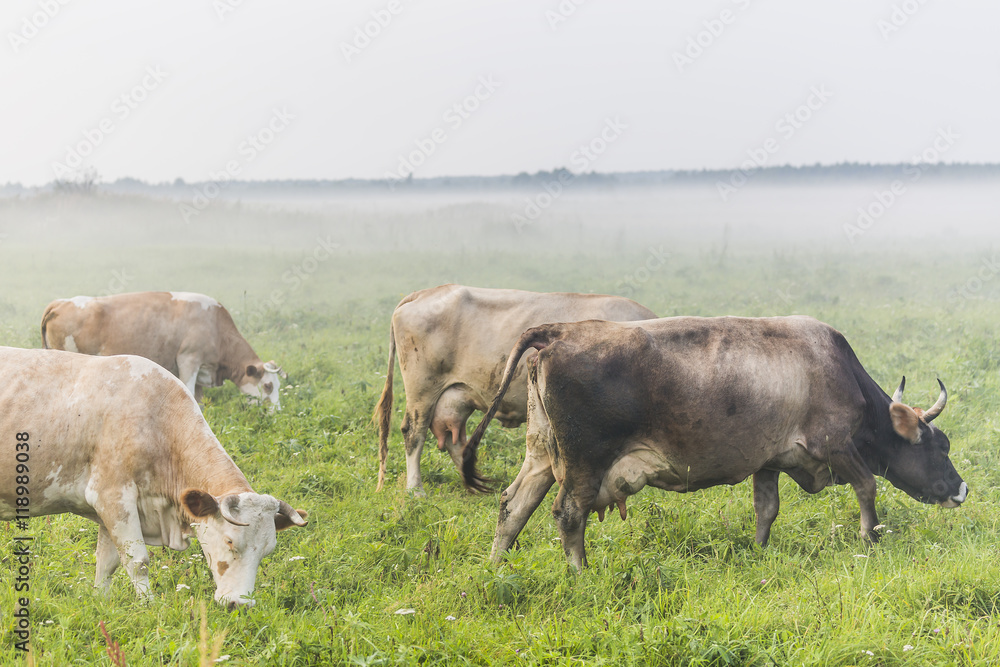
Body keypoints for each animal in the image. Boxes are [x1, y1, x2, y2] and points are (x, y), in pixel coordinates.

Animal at [0, 348, 308, 608]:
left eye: (266, 551)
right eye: (231, 542)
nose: (240, 604)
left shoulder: (110, 509)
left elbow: (107, 563)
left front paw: (102, 602)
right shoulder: (113, 496)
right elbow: (138, 561)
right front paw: (149, 606)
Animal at [39, 290, 282, 410]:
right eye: (267, 386)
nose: (277, 412)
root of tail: (60, 303)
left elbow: (200, 400)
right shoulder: (189, 360)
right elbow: (189, 392)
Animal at [370, 284, 656, 494]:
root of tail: (424, 293)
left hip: (454, 395)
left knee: (454, 439)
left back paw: (475, 484)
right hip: (422, 389)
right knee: (413, 433)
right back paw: (415, 490)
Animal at [466, 316, 968, 572]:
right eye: (940, 446)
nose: (962, 489)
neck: (836, 367)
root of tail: (559, 330)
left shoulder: (770, 460)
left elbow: (767, 509)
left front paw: (760, 550)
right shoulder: (837, 445)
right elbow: (868, 487)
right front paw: (870, 537)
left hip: (541, 454)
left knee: (514, 504)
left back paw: (496, 566)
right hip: (583, 464)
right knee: (568, 513)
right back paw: (580, 572)